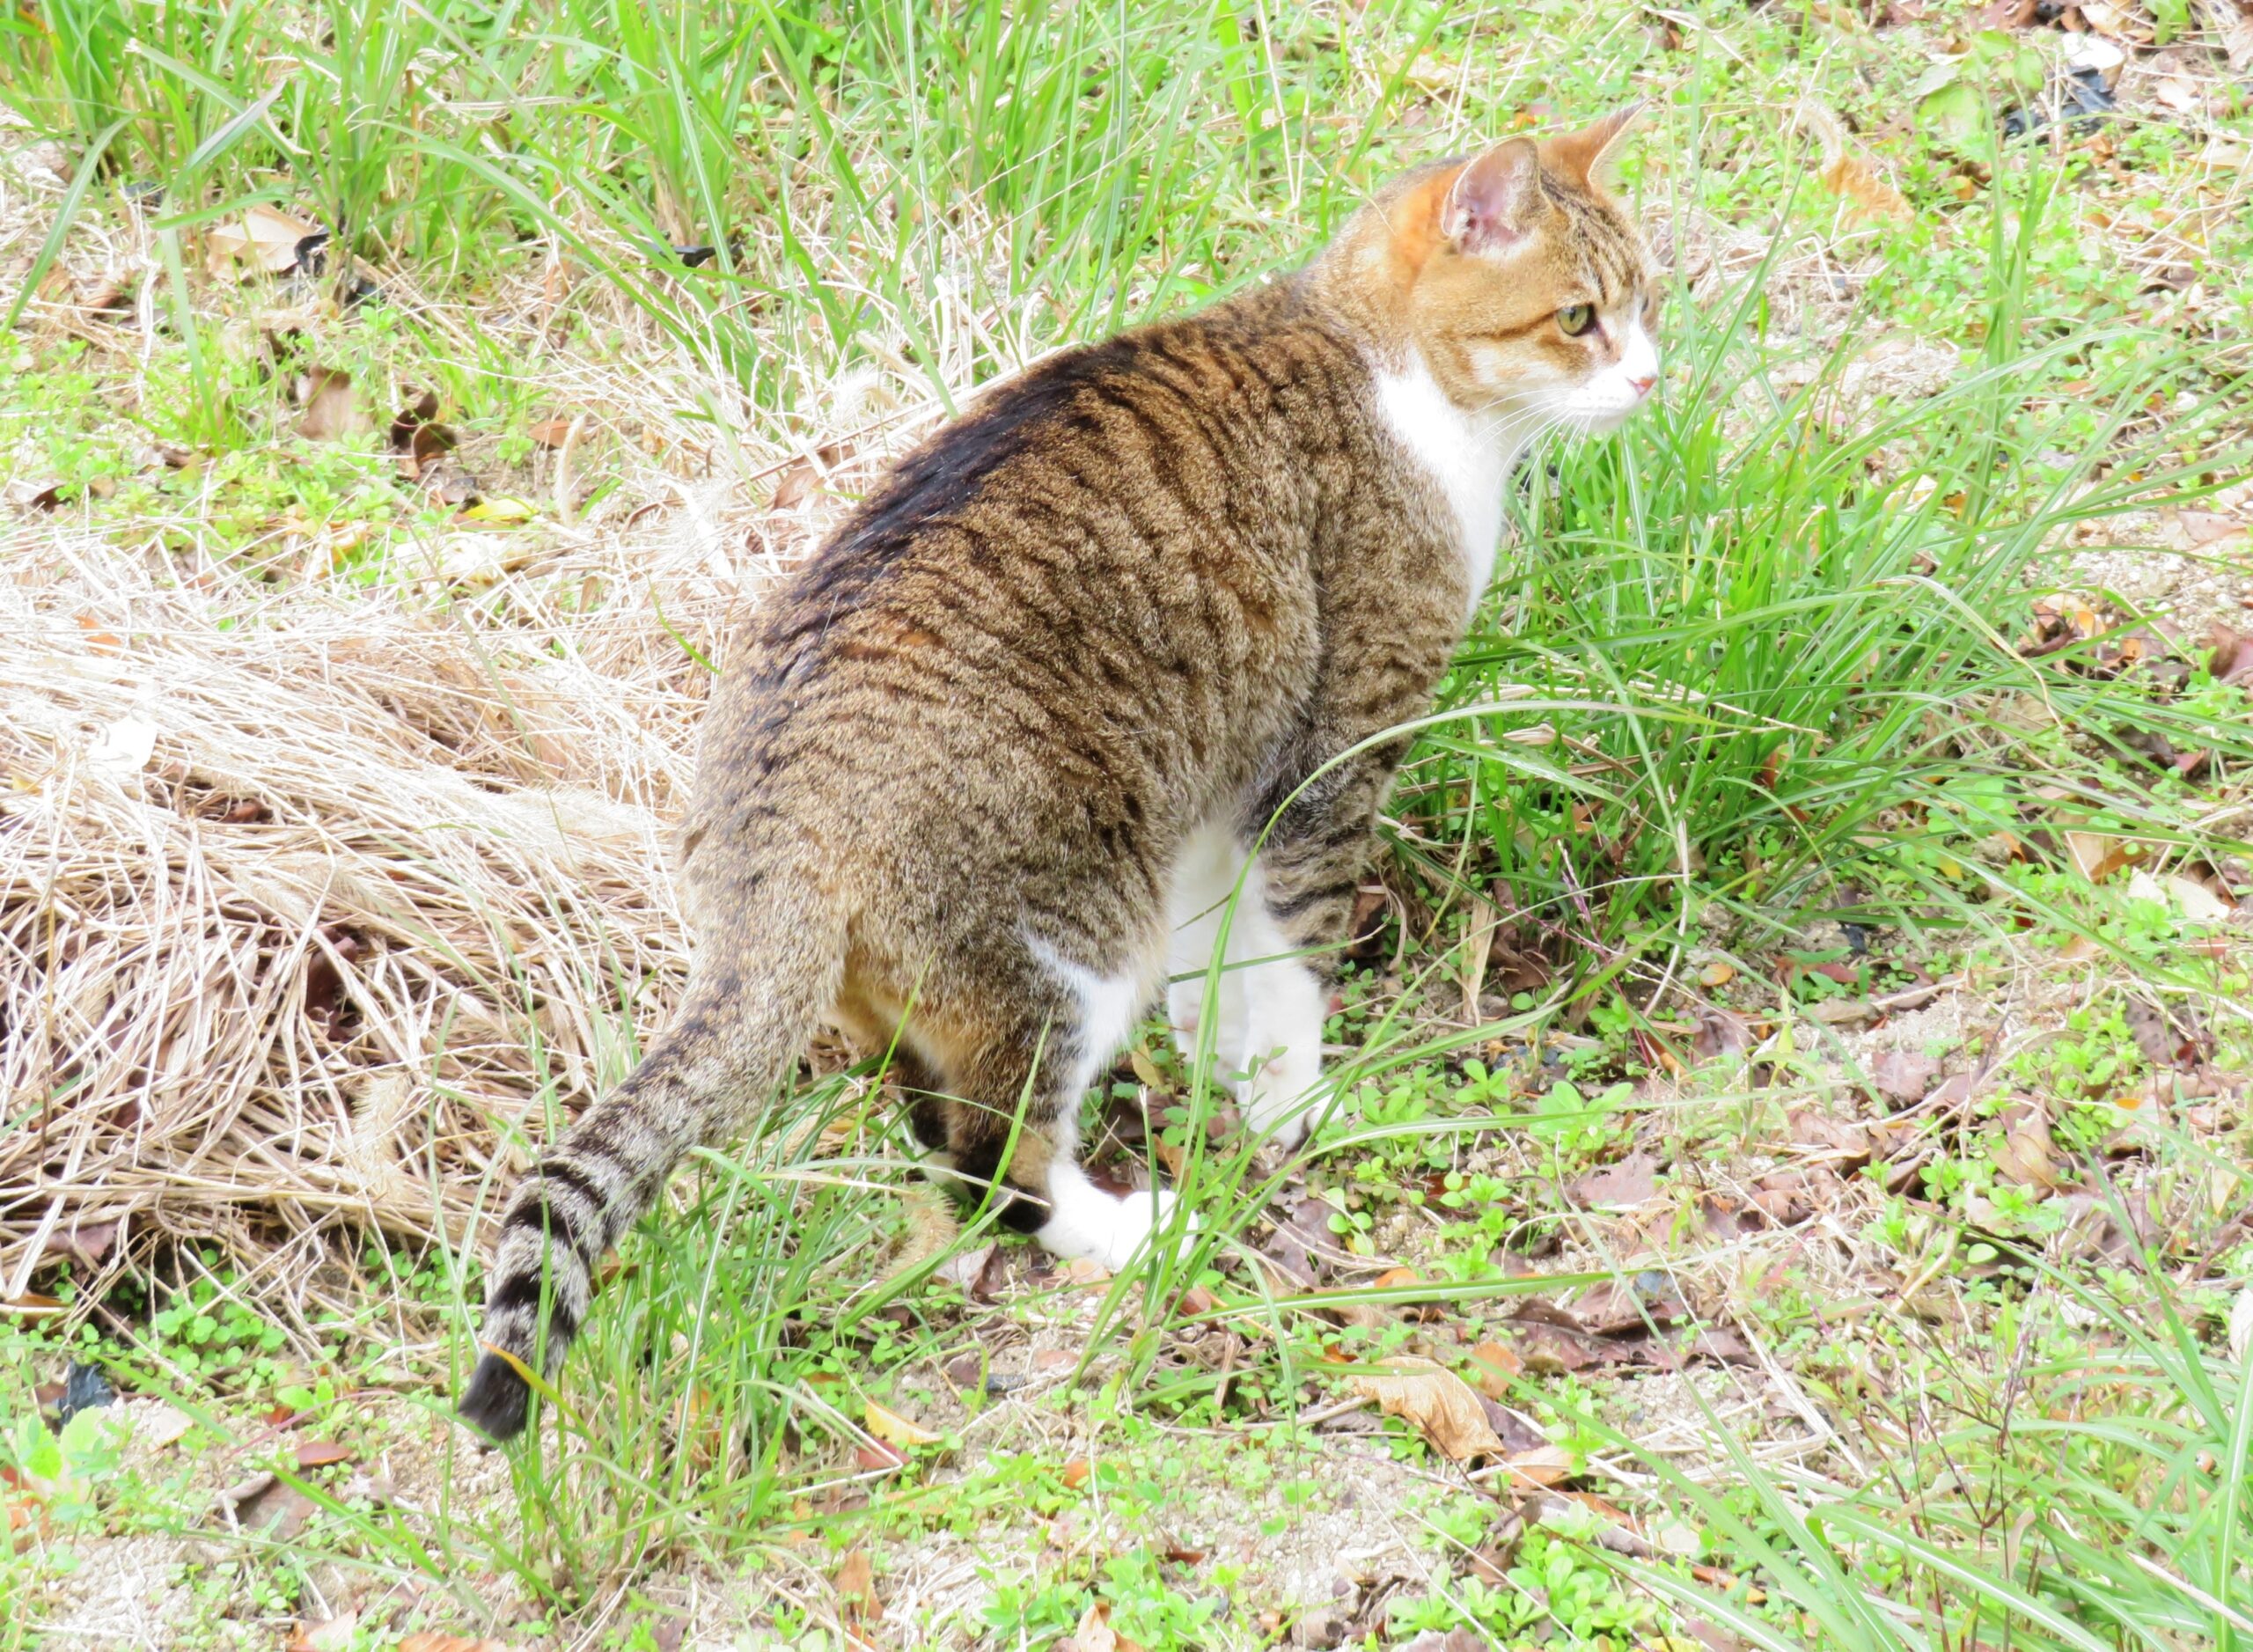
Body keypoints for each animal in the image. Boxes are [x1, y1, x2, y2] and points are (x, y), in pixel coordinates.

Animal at [457, 109, 1658, 1433]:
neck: (1389, 373)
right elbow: (1294, 958)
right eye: (1578, 318)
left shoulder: (1218, 784)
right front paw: (1292, 1103)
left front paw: (1221, 1056)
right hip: (1066, 939)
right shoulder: (1331, 748)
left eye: (1647, 303)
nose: (1650, 377)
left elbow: (1220, 949)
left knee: (935, 1119)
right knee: (997, 1160)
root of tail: (769, 821)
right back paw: (1131, 1230)